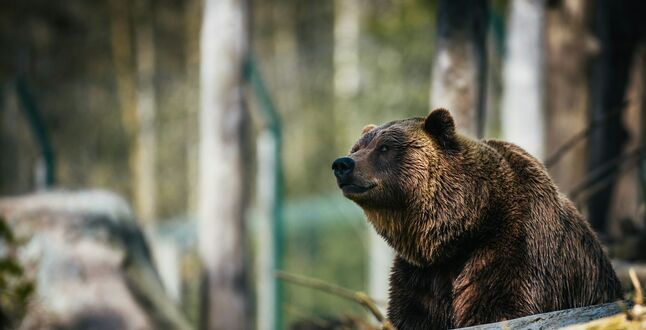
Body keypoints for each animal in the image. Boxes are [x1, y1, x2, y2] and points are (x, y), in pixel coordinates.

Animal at [332, 109, 624, 328]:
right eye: (357, 147)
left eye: (385, 147)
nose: (343, 164)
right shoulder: (422, 274)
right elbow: (410, 314)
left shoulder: (514, 245)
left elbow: (499, 306)